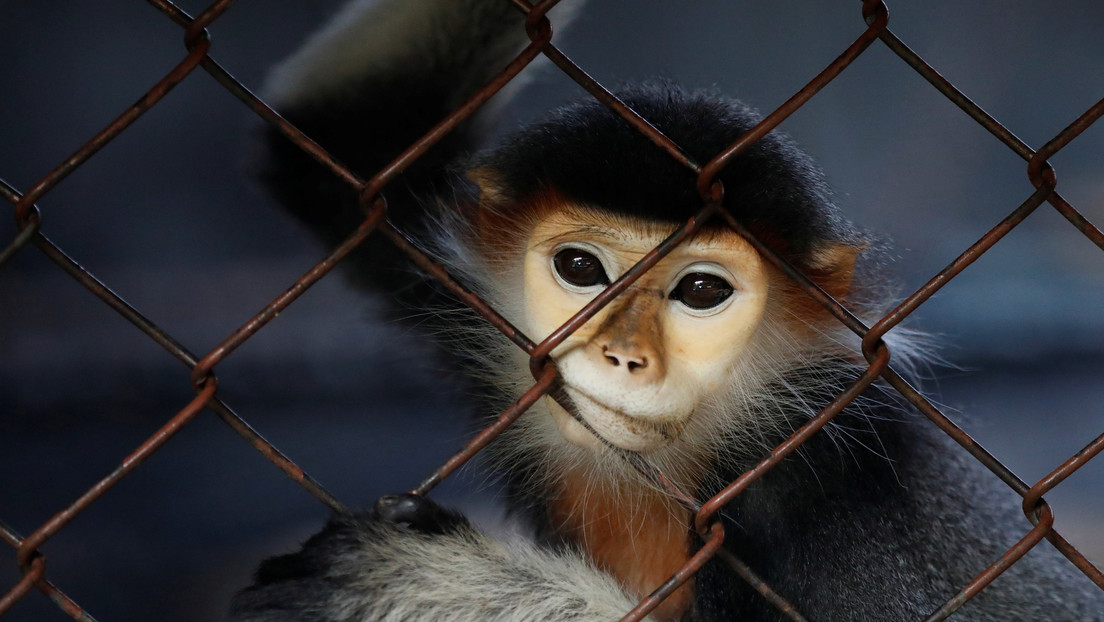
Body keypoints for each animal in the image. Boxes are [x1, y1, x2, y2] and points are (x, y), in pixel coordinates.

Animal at [231, 0, 1104, 620]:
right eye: (580, 269)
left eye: (701, 292)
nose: (624, 357)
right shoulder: (453, 279)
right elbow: (340, 144)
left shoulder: (836, 496)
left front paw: (416, 581)